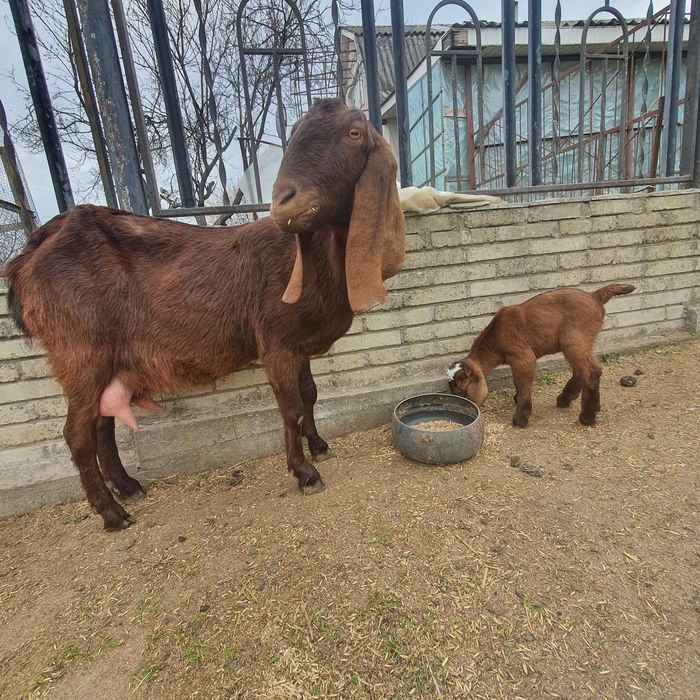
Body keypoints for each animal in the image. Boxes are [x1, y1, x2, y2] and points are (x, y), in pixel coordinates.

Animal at [4, 99, 405, 529]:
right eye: (295, 130)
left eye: (354, 132)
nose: (284, 201)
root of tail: (29, 255)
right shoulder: (276, 343)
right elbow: (292, 407)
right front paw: (305, 473)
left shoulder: (297, 345)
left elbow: (311, 395)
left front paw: (319, 445)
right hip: (80, 352)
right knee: (76, 435)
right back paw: (112, 512)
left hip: (105, 359)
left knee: (101, 423)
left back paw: (128, 486)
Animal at [447, 284, 635, 427]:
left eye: (460, 386)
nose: (456, 400)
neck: (495, 336)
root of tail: (594, 296)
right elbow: (517, 381)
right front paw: (517, 399)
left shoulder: (522, 356)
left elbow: (523, 384)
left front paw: (521, 418)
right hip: (584, 341)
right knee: (583, 370)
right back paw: (569, 400)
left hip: (574, 339)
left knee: (591, 372)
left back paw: (587, 417)